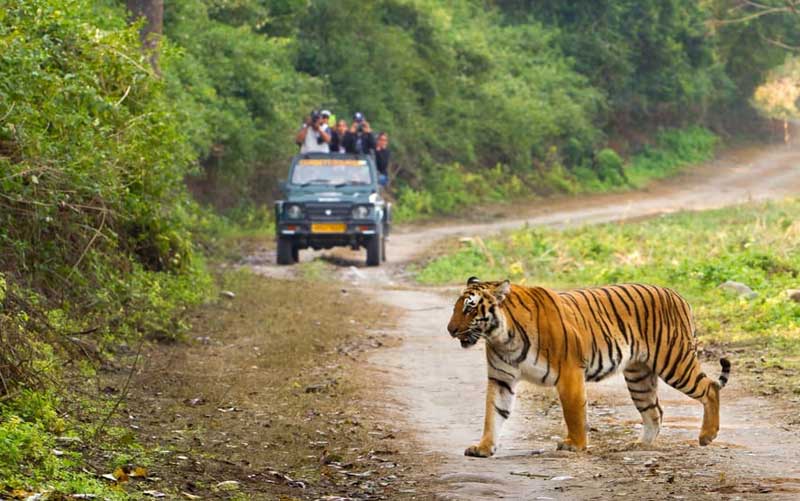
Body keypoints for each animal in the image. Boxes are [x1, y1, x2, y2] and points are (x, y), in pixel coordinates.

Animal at [446, 278, 728, 458]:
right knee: (654, 411)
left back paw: (707, 436)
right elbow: (493, 414)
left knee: (710, 388)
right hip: (639, 376)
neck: (502, 337)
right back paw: (639, 445)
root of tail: (678, 295)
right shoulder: (501, 379)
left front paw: (576, 445)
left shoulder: (569, 372)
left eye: (470, 308)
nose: (450, 330)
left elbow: (573, 413)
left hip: (674, 361)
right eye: (456, 307)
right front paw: (483, 448)